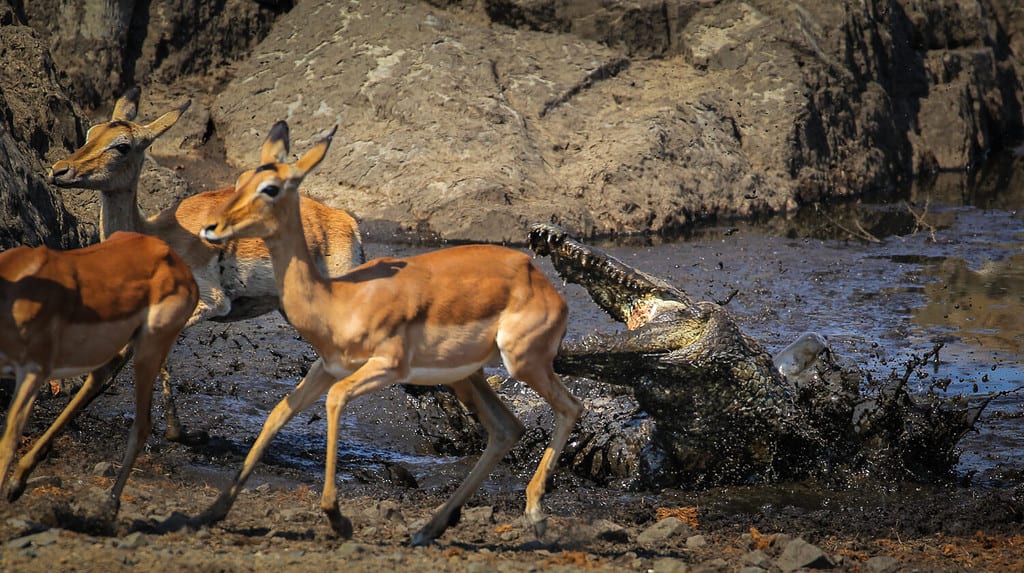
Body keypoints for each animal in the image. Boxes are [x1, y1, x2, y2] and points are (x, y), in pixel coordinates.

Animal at [0, 231, 198, 511]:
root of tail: (177, 262)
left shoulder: (33, 372)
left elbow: (7, 443)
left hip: (149, 350)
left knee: (142, 424)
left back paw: (110, 505)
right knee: (101, 376)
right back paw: (19, 482)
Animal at [47, 88, 364, 441]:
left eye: (122, 145)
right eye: (91, 132)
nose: (59, 170)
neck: (158, 234)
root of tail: (347, 222)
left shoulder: (210, 303)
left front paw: (174, 431)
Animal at [197, 122, 583, 545]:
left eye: (270, 188)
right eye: (242, 180)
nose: (211, 227)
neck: (339, 301)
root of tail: (542, 282)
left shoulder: (386, 367)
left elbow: (335, 401)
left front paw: (337, 517)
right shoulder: (327, 367)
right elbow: (280, 412)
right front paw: (211, 512)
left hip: (523, 363)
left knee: (570, 407)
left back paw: (535, 515)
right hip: (468, 376)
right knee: (506, 429)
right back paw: (428, 528)